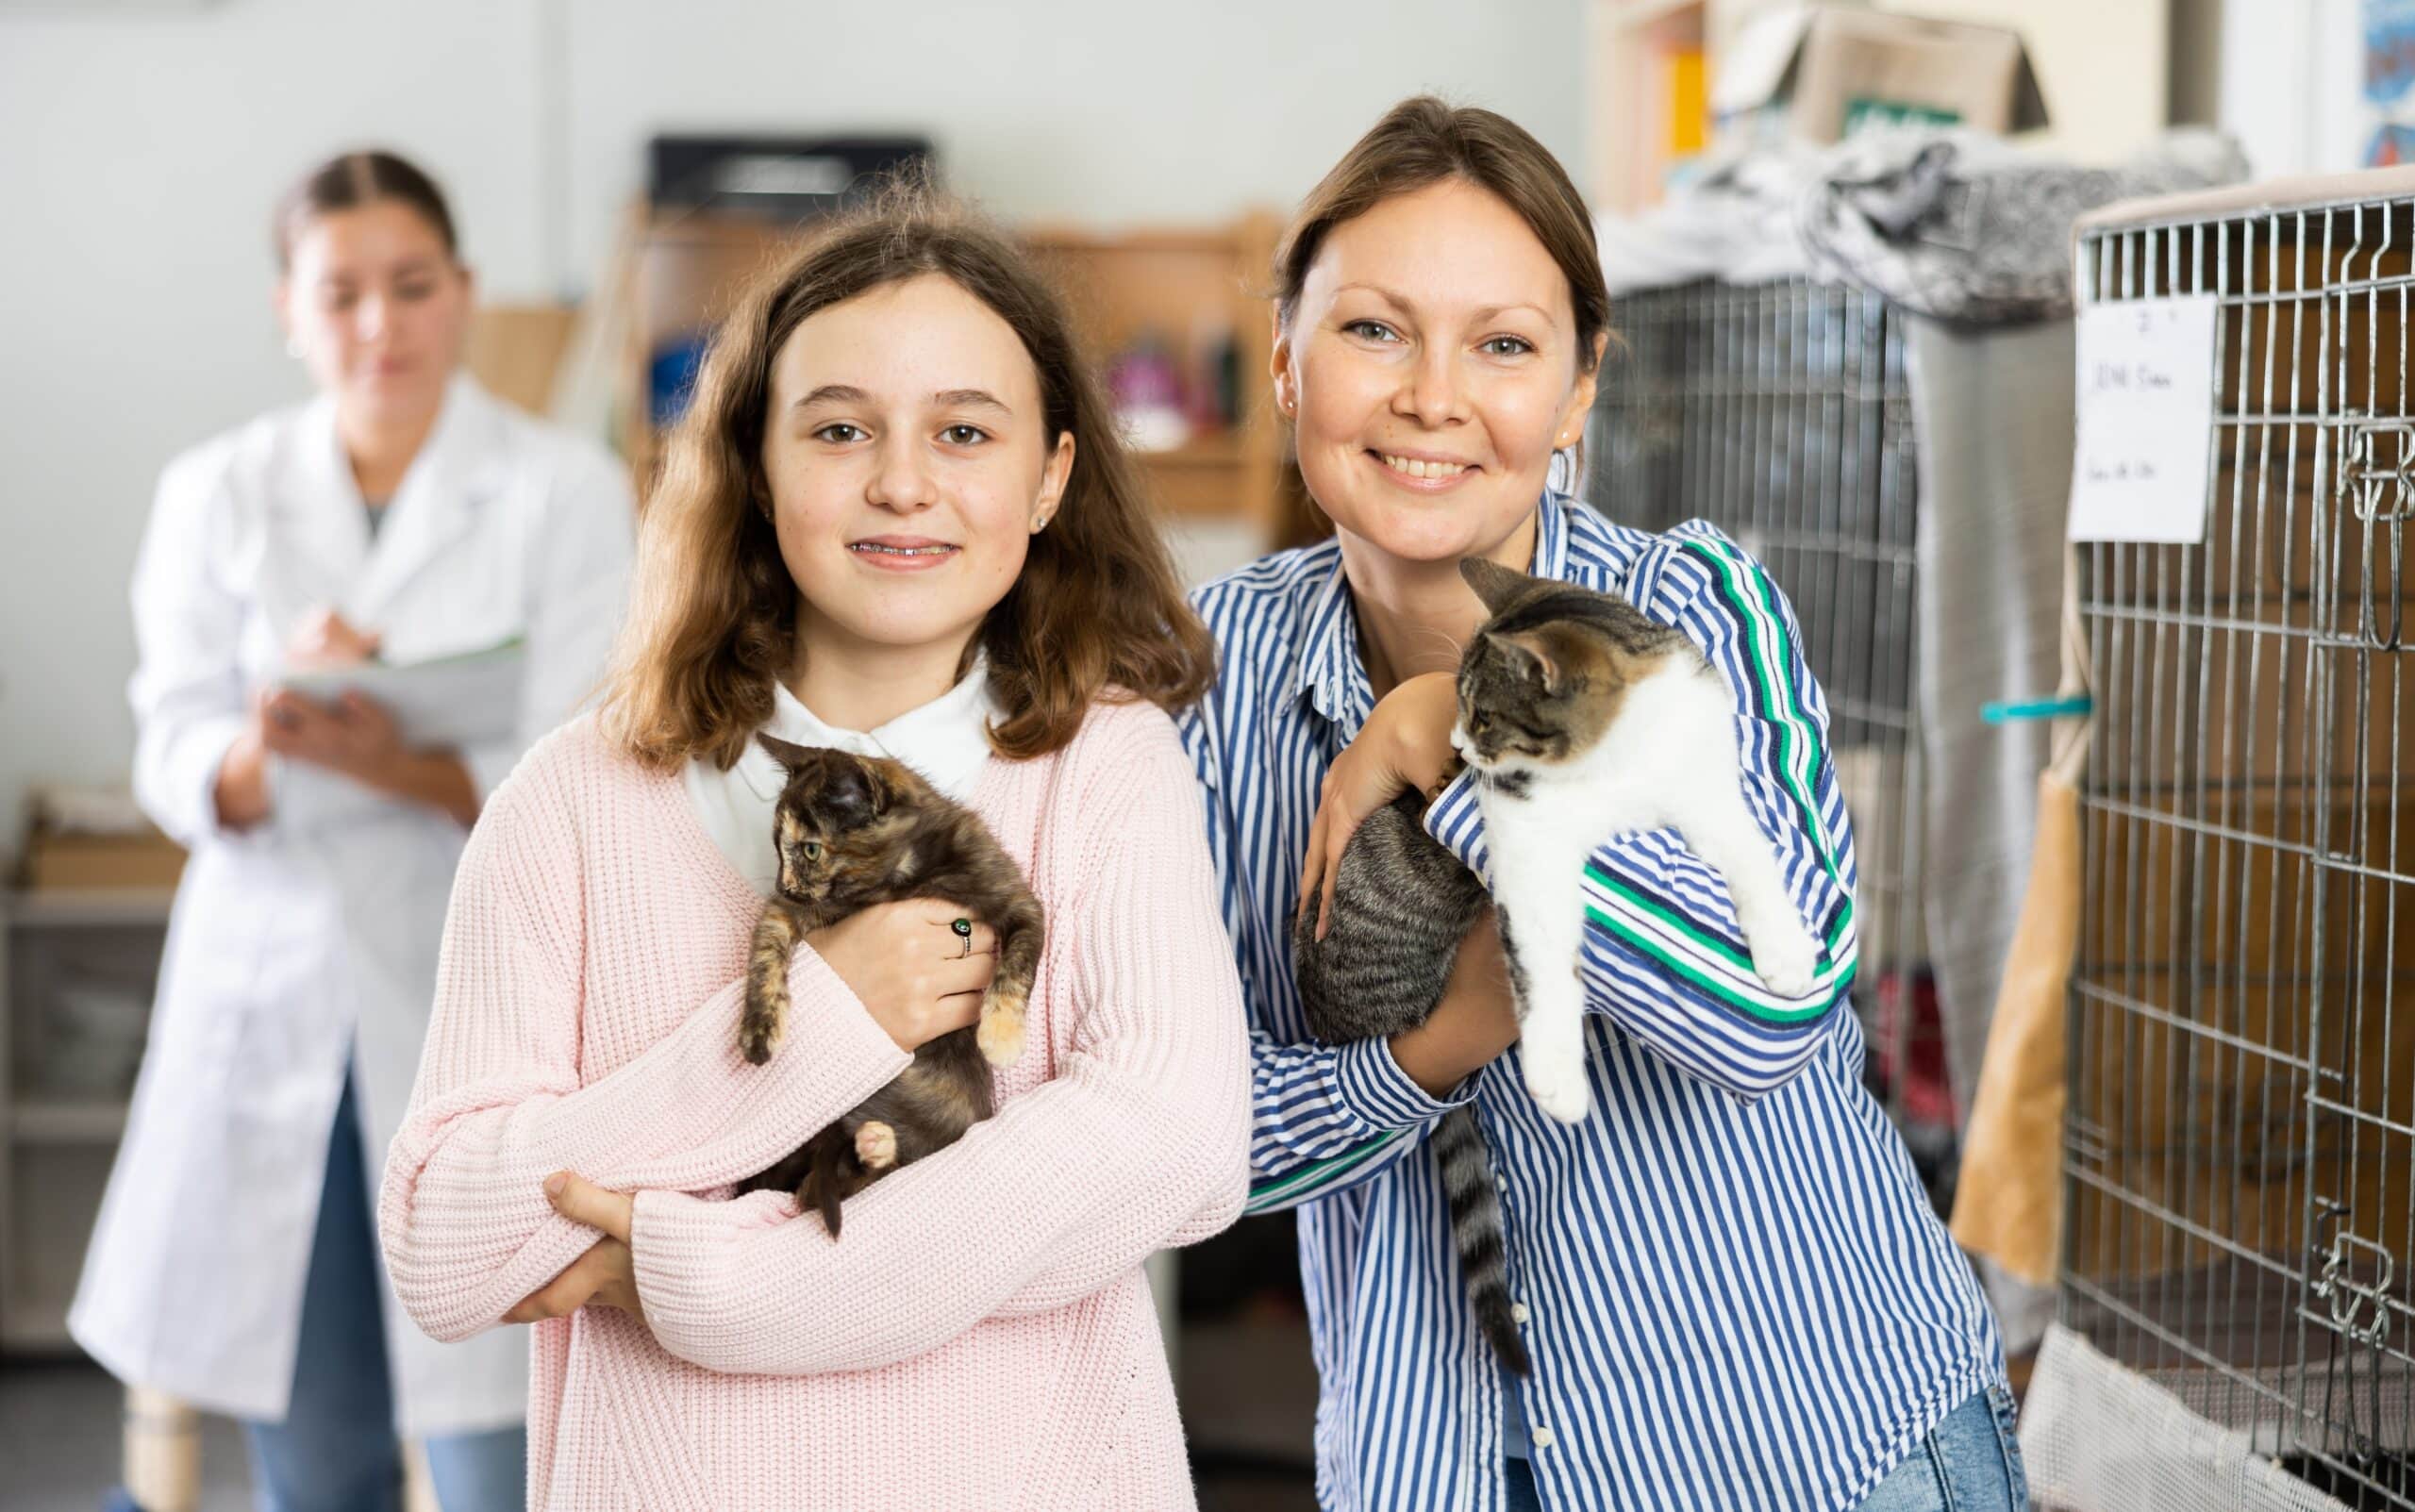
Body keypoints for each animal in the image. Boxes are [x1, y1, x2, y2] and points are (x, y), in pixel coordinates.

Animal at [729, 734, 1042, 1231]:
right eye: (778, 848)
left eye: (811, 850)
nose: (783, 883)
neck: (898, 876)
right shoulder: (794, 910)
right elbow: (766, 947)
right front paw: (759, 1031)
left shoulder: (1017, 901)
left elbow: (1018, 965)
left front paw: (1002, 1037)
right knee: (809, 1192)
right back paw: (871, 1146)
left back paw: (875, 1146)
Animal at [1294, 555, 1816, 1381]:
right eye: (1460, 708)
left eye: (1481, 714)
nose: (1454, 741)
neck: (1623, 757)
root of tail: (1336, 1021)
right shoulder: (1523, 834)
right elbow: (1543, 962)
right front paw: (1557, 1075)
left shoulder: (1708, 788)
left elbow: (1756, 852)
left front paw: (1788, 949)